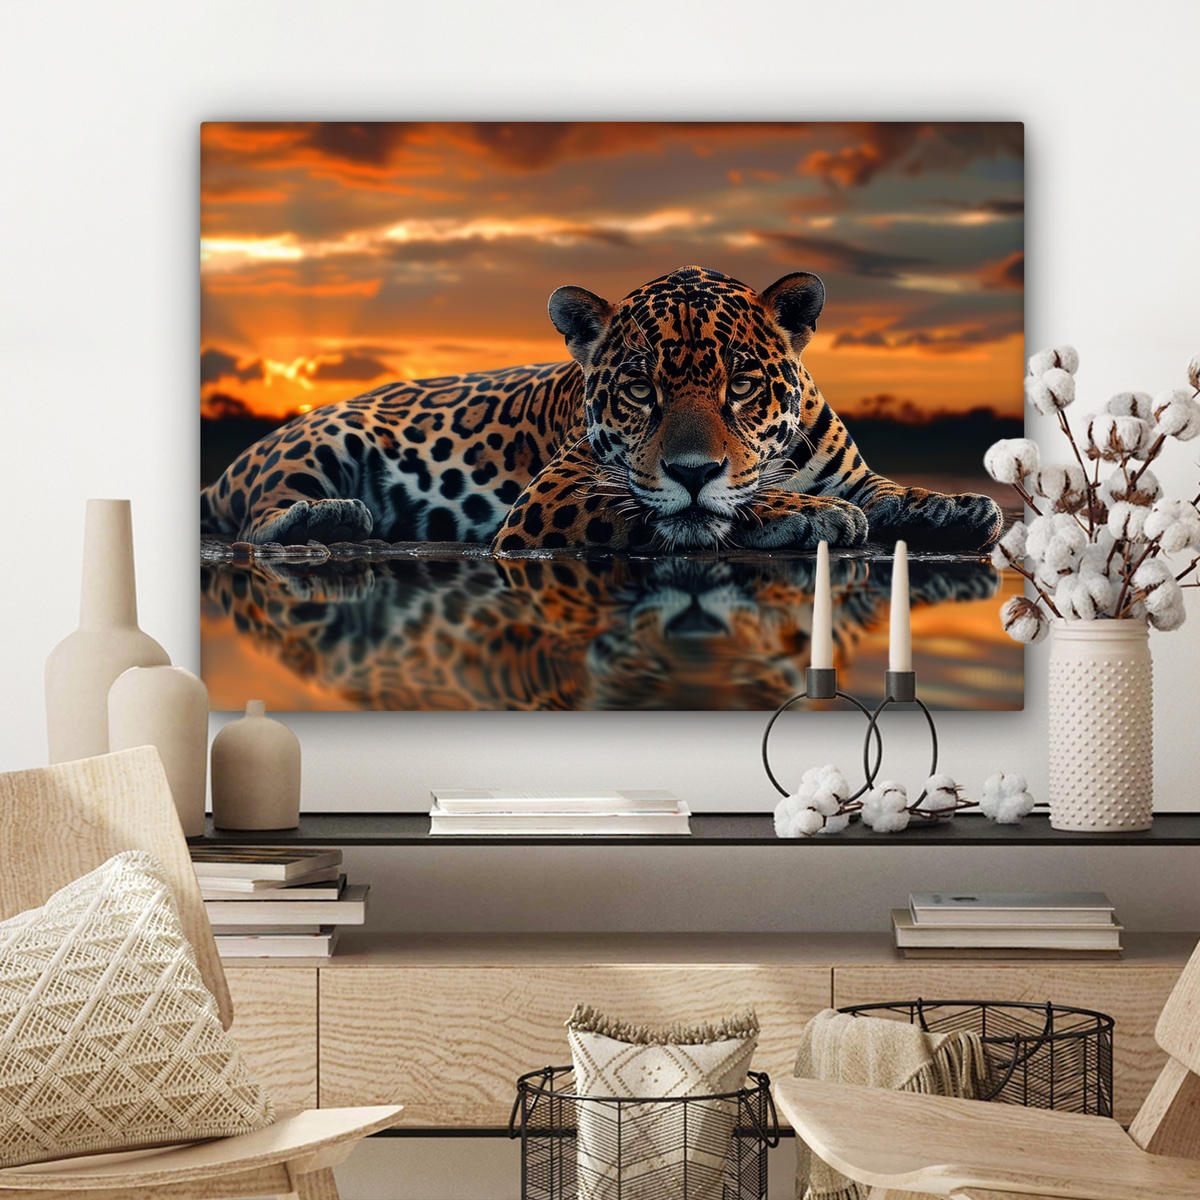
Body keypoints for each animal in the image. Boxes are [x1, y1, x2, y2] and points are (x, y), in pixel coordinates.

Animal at [200, 266, 1004, 553]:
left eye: (742, 385)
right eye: (641, 391)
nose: (692, 469)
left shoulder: (853, 473)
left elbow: (892, 490)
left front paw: (958, 506)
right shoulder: (555, 496)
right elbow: (703, 508)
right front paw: (804, 514)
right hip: (320, 440)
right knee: (258, 515)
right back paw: (328, 517)